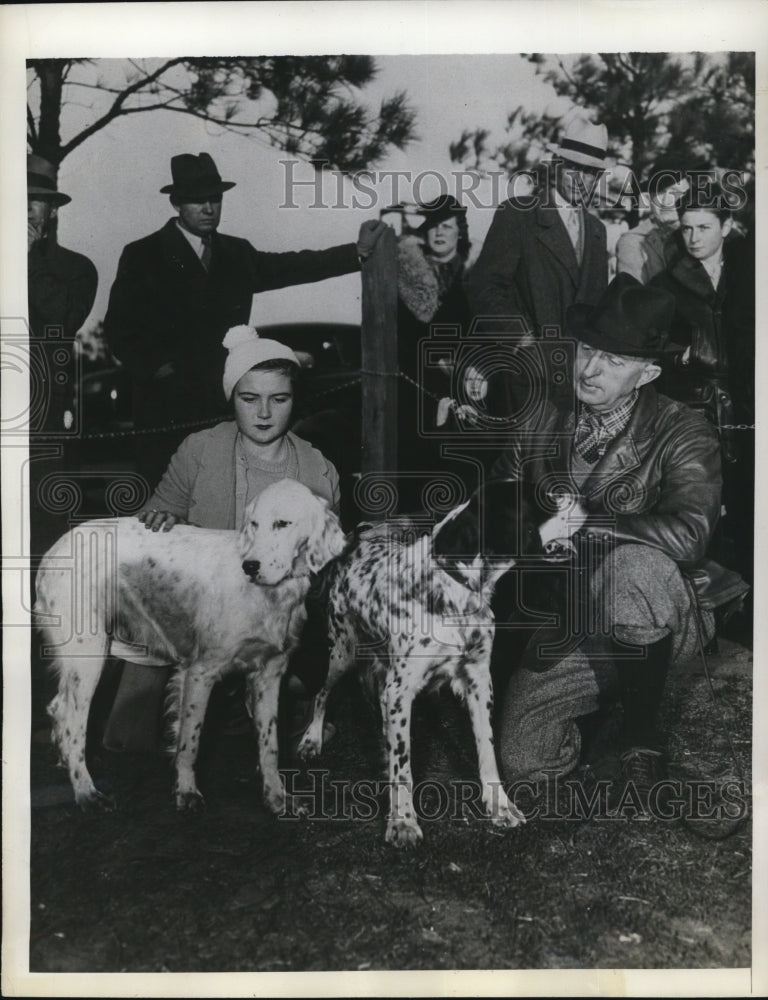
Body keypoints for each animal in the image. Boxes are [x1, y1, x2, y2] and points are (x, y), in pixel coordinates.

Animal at [35, 480, 344, 816]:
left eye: (283, 523)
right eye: (254, 523)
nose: (250, 566)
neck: (269, 594)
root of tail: (53, 552)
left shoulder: (270, 674)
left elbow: (270, 745)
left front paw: (277, 796)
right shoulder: (200, 672)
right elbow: (189, 741)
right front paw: (186, 791)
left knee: (58, 709)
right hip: (89, 657)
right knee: (71, 719)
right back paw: (86, 791)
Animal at [296, 480, 584, 848]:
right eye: (546, 498)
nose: (585, 498)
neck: (452, 588)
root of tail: (358, 539)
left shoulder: (478, 680)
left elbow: (487, 749)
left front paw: (500, 806)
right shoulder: (401, 689)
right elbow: (403, 767)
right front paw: (403, 822)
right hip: (342, 651)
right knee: (322, 693)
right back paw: (311, 739)